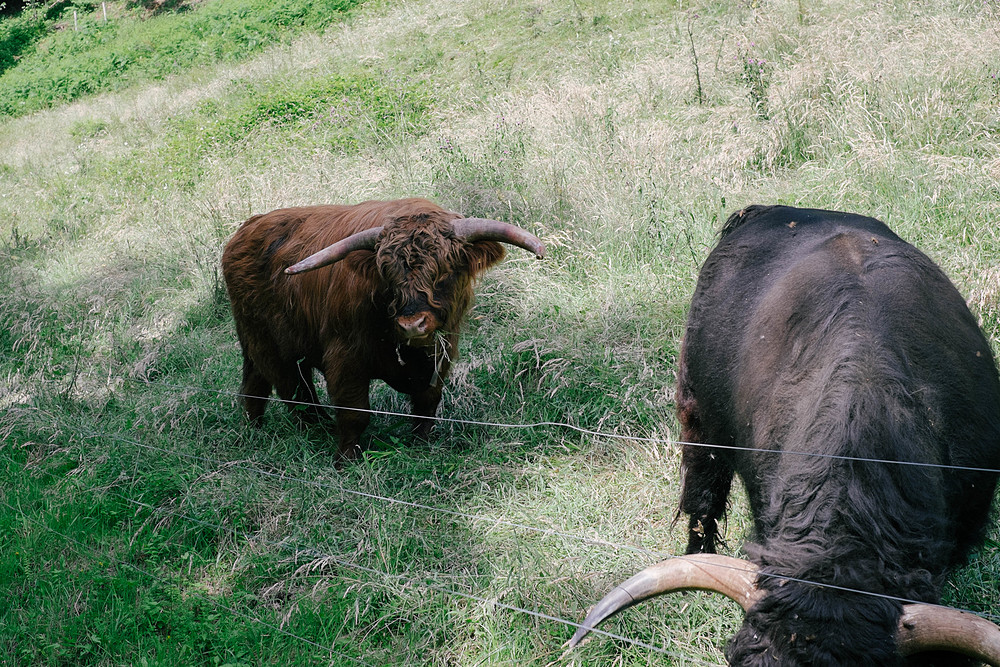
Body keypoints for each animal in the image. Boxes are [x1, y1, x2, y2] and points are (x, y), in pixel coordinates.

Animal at [222, 198, 544, 460]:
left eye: (446, 271)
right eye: (387, 274)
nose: (412, 324)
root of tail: (247, 227)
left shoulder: (440, 354)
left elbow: (426, 404)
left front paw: (421, 445)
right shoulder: (345, 356)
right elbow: (354, 412)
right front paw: (345, 460)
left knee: (261, 383)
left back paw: (261, 428)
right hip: (266, 341)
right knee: (291, 389)